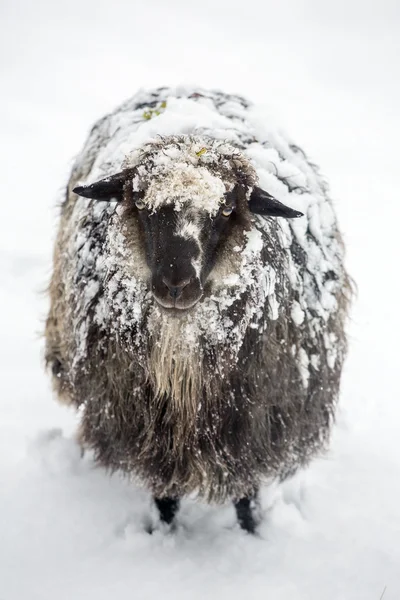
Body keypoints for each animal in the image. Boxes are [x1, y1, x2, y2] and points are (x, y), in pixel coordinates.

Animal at [45, 86, 352, 532]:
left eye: (226, 210)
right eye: (140, 204)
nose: (177, 284)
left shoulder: (251, 427)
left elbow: (245, 494)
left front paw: (249, 534)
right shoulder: (150, 431)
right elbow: (165, 496)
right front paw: (165, 536)